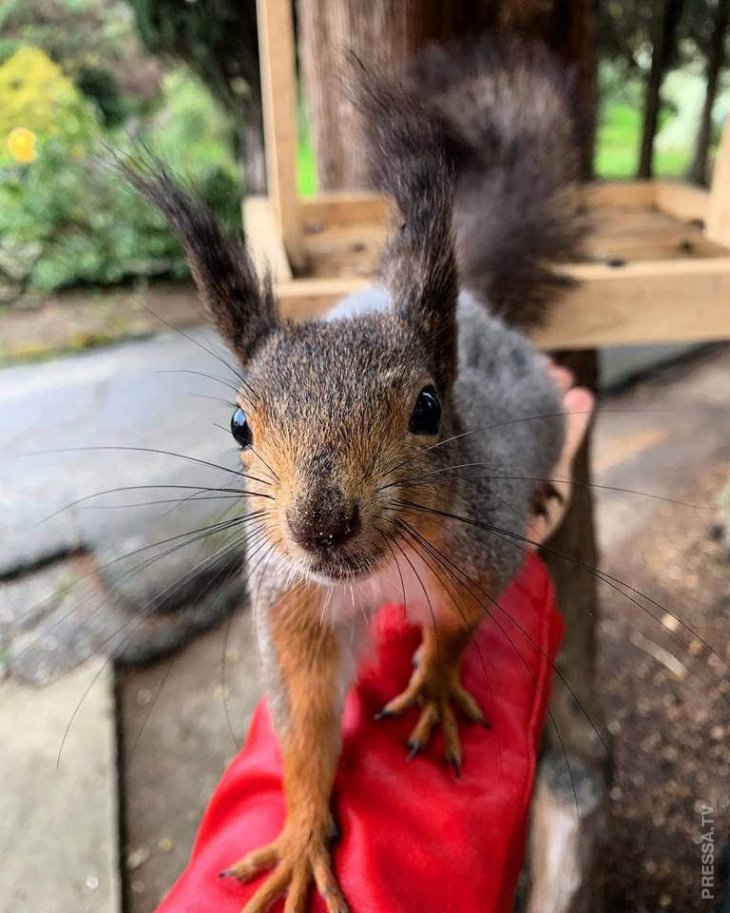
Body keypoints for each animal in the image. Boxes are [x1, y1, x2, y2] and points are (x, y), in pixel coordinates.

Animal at [123, 35, 580, 913]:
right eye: (239, 425)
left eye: (428, 407)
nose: (321, 524)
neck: (376, 573)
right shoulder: (291, 604)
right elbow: (304, 722)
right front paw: (302, 835)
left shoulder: (481, 550)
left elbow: (457, 628)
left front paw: (434, 685)